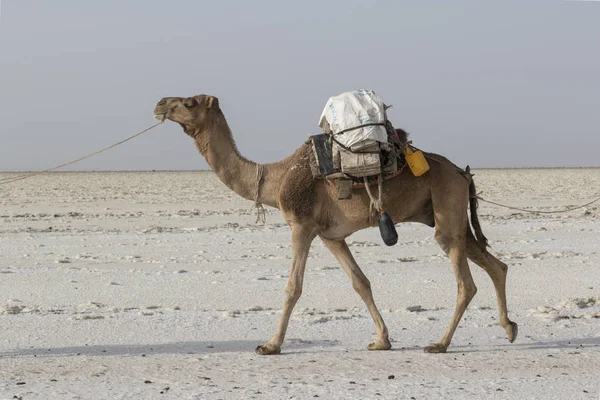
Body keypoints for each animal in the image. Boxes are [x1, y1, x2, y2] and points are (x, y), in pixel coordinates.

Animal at [154, 94, 516, 356]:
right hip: (450, 214)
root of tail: (462, 173)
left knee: (465, 281)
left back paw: (440, 344)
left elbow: (293, 287)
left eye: (189, 102)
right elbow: (360, 283)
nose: (159, 103)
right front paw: (382, 340)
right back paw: (509, 327)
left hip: (446, 207)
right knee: (495, 264)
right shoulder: (331, 235)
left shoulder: (301, 225)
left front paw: (270, 345)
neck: (275, 178)